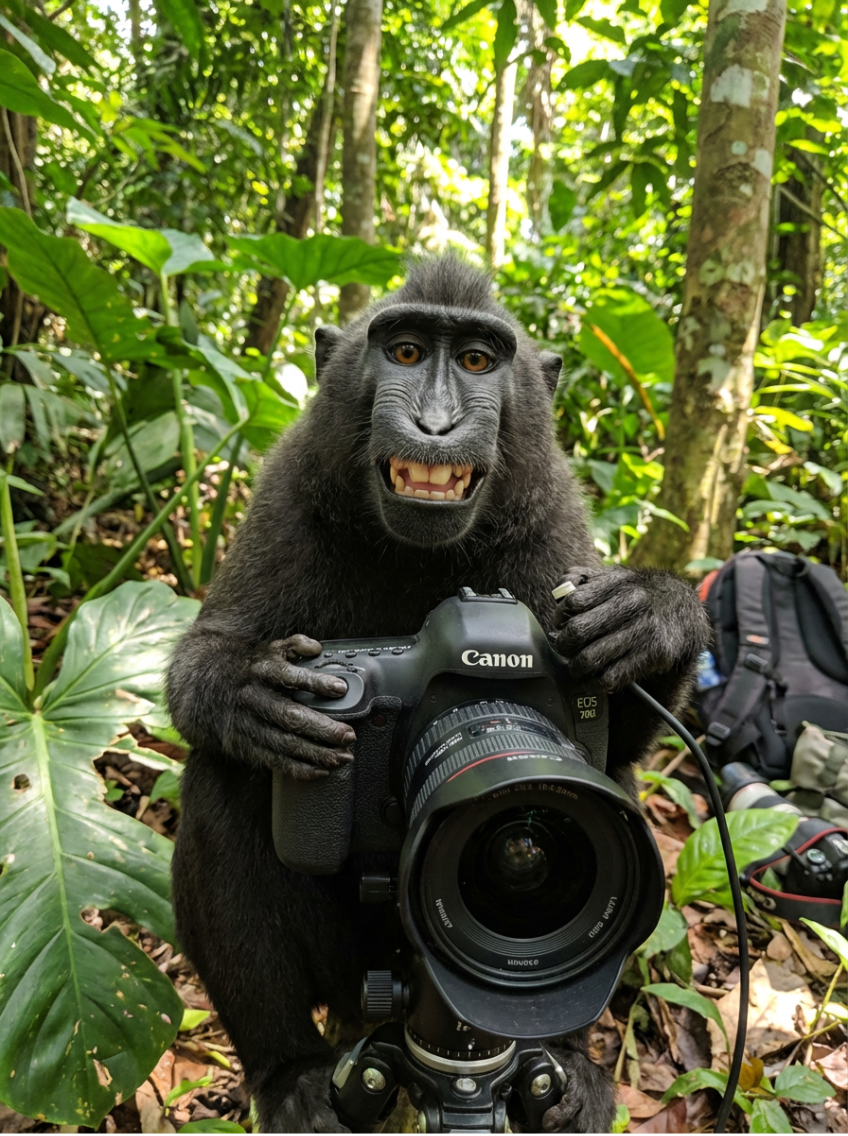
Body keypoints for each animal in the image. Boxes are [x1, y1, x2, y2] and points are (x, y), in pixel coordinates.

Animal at [167, 256, 708, 1133]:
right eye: (409, 352)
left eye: (480, 361)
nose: (435, 424)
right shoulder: (286, 492)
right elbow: (202, 671)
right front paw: (249, 695)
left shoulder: (552, 529)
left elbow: (619, 740)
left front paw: (654, 613)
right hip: (351, 978)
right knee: (223, 781)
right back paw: (291, 1075)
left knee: (615, 777)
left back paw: (567, 1070)